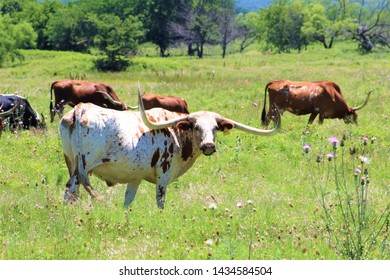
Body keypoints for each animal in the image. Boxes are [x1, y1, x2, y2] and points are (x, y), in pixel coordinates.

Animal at [59, 88, 280, 209]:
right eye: (196, 126)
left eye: (215, 128)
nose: (209, 146)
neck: (176, 132)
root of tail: (81, 108)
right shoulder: (163, 174)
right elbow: (160, 200)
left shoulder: (134, 177)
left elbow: (127, 201)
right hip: (82, 167)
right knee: (70, 190)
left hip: (71, 164)